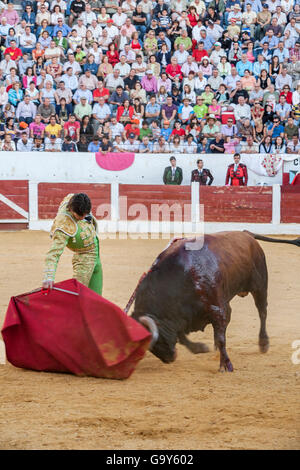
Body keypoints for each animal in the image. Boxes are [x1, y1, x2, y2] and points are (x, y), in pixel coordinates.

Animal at [132, 231, 300, 370]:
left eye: (157, 339)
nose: (168, 359)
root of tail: (247, 234)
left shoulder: (215, 308)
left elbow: (220, 339)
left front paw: (226, 365)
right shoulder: (184, 316)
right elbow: (183, 337)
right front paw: (201, 348)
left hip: (260, 286)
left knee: (262, 312)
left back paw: (263, 343)